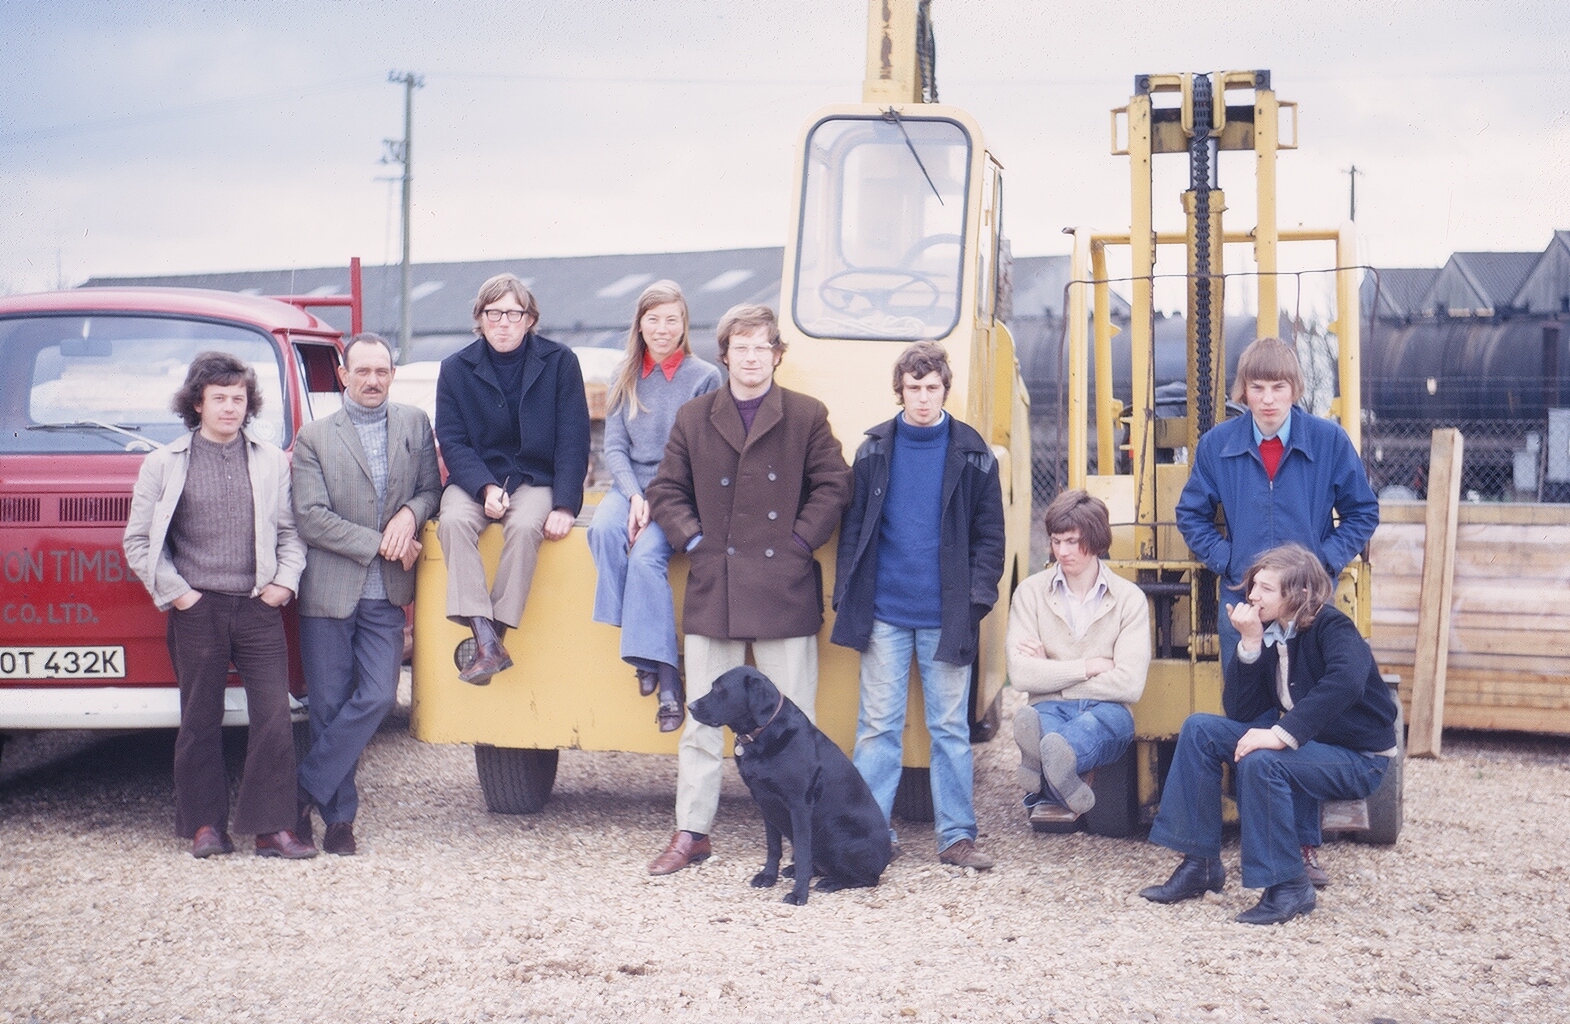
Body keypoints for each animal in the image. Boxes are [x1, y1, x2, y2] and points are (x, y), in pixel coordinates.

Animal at [690, 662, 898, 904]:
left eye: (720, 689)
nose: (690, 706)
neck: (762, 733)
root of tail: (886, 857)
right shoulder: (765, 802)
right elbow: (773, 847)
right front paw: (768, 877)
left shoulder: (799, 805)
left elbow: (801, 852)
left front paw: (799, 894)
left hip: (836, 834)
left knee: (867, 879)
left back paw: (831, 882)